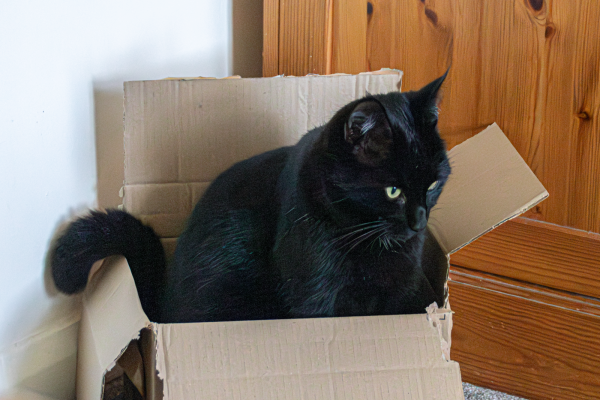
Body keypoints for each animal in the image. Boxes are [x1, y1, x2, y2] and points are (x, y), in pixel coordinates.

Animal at [51, 72, 450, 324]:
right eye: (393, 190)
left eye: (432, 184)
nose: (419, 221)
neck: (367, 245)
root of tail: (162, 308)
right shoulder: (313, 301)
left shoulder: (402, 290)